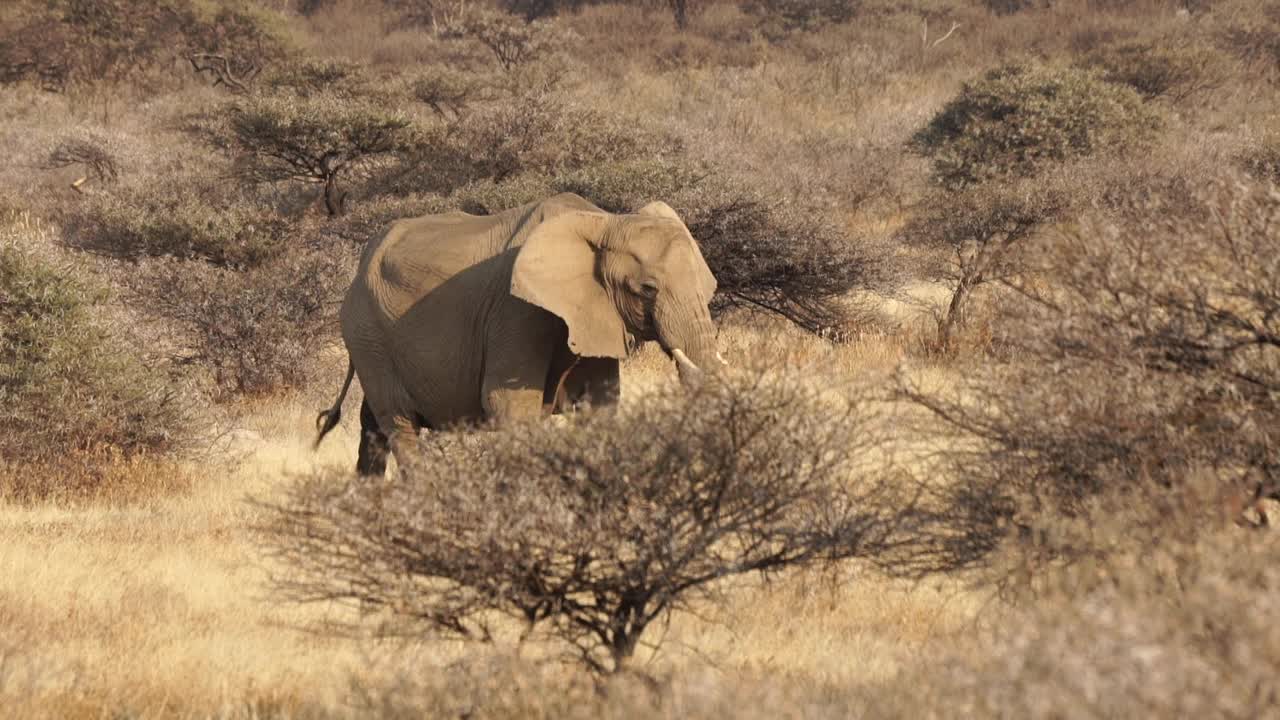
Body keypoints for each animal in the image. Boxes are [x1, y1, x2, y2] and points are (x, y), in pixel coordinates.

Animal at [316, 190, 727, 474]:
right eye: (647, 289)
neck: (603, 220)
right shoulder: (516, 312)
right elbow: (508, 404)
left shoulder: (592, 311)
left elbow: (600, 403)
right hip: (367, 334)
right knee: (399, 424)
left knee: (373, 427)